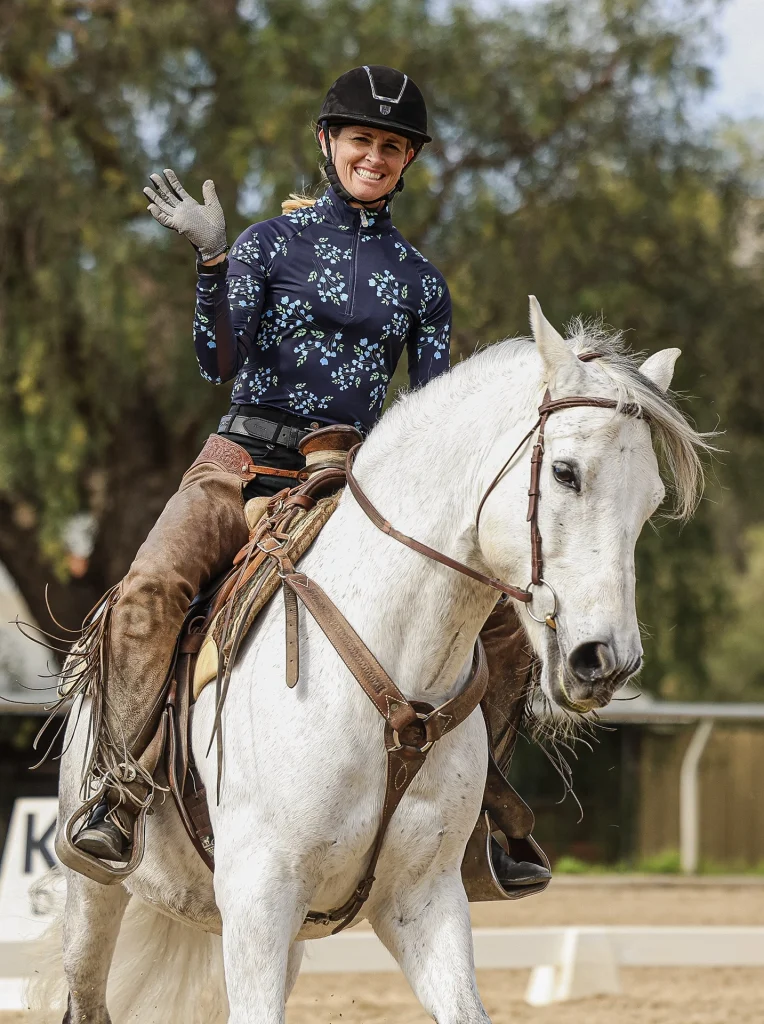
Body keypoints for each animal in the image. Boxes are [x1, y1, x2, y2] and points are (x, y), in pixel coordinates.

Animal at [39, 298, 709, 1024]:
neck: (396, 682)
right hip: (96, 896)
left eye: (650, 501)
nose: (605, 660)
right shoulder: (258, 899)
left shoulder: (423, 898)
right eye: (565, 472)